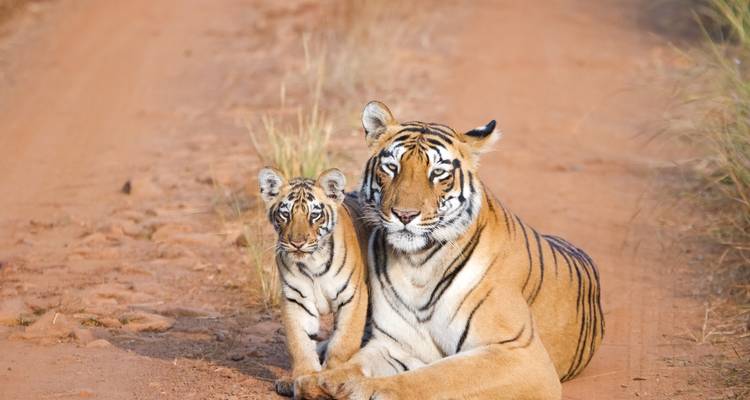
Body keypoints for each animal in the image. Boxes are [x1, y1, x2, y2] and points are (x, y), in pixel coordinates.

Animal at [258, 167, 370, 397]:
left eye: (315, 215)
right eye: (285, 214)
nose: (297, 243)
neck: (313, 263)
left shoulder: (354, 296)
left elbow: (343, 342)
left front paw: (331, 377)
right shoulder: (296, 300)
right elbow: (299, 343)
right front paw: (304, 378)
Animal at [293, 101, 604, 400]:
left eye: (438, 173)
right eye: (392, 167)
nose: (404, 215)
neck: (418, 264)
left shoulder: (520, 353)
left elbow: (437, 376)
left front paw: (367, 389)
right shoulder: (396, 345)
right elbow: (355, 363)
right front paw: (320, 380)